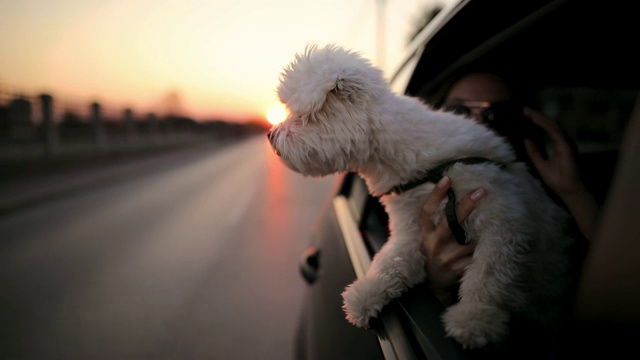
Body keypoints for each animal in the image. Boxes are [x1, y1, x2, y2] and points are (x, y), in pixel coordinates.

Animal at [268, 45, 576, 348]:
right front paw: (365, 294)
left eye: (299, 116)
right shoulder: (410, 231)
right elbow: (390, 261)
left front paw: (473, 319)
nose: (270, 136)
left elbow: (487, 274)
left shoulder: (504, 220)